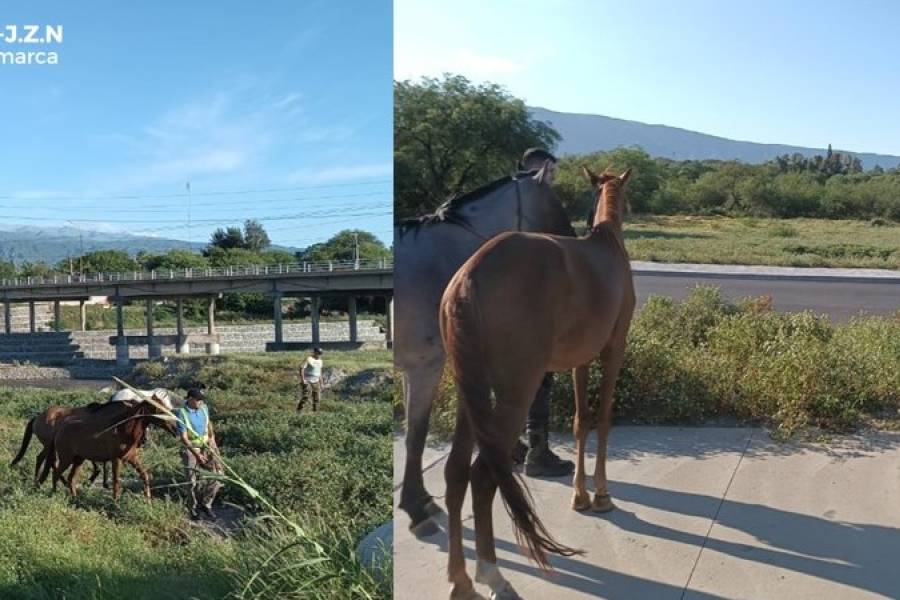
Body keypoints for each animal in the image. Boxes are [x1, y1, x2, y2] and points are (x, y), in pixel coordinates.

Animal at [48, 398, 178, 502]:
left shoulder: (132, 458)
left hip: (78, 460)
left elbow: (145, 475)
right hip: (66, 459)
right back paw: (53, 495)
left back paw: (75, 499)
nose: (176, 429)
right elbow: (116, 482)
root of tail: (59, 430)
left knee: (71, 479)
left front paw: (148, 500)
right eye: (160, 411)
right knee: (56, 474)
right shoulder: (116, 460)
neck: (123, 430)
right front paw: (116, 503)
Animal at [440, 166, 636, 596]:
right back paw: (492, 574)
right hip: (515, 392)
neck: (608, 246)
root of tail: (467, 278)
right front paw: (601, 493)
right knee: (483, 476)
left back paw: (461, 579)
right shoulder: (613, 351)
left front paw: (580, 494)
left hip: (470, 393)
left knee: (456, 473)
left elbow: (581, 422)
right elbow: (603, 419)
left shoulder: (581, 359)